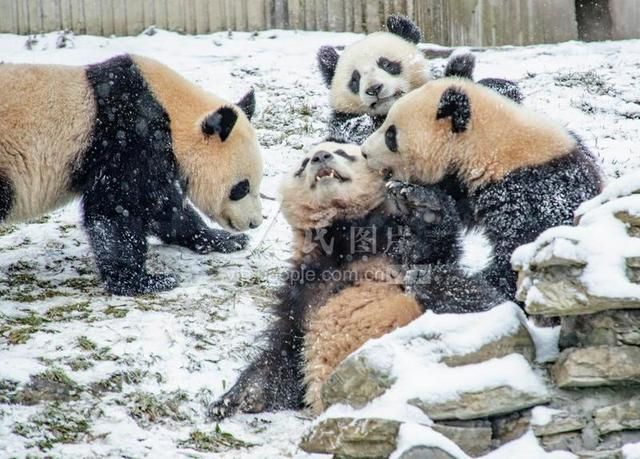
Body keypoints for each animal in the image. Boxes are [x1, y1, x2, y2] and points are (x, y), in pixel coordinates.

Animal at [0, 55, 264, 296]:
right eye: (241, 188)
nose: (254, 223)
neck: (173, 111)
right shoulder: (129, 137)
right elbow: (117, 209)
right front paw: (143, 281)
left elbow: (165, 207)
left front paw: (223, 240)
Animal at [209, 142, 500, 418]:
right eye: (303, 164)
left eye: (342, 152)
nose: (321, 157)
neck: (344, 233)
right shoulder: (304, 290)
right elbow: (285, 352)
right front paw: (235, 399)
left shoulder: (395, 251)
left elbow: (432, 246)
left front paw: (423, 206)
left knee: (465, 295)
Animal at [362, 77, 604, 300]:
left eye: (390, 135)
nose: (363, 152)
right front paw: (423, 209)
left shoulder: (536, 196)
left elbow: (514, 278)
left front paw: (436, 282)